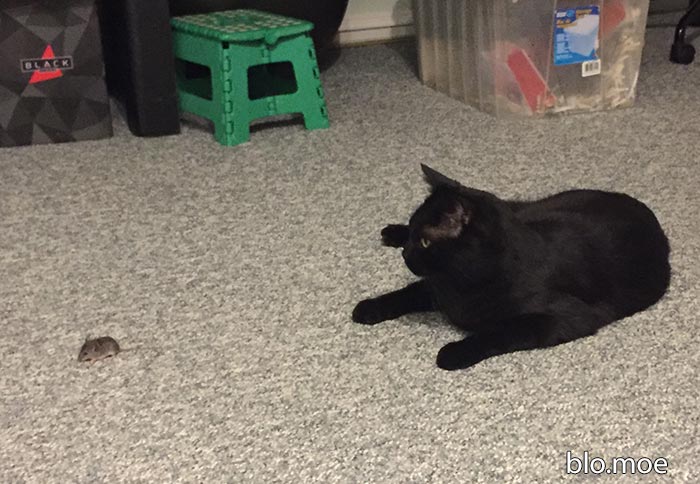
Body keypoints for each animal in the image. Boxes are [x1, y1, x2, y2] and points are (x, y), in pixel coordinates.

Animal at [352, 164, 671, 370]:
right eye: (417, 239)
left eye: (426, 242)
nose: (405, 254)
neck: (464, 283)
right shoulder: (435, 286)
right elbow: (405, 293)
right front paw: (368, 308)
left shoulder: (566, 318)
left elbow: (501, 332)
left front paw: (453, 353)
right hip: (529, 207)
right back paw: (390, 232)